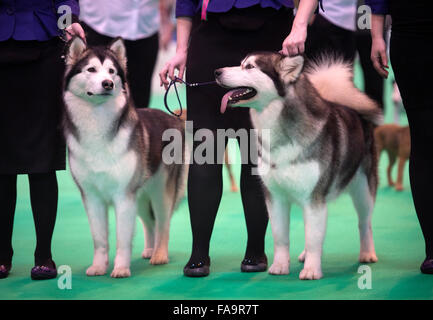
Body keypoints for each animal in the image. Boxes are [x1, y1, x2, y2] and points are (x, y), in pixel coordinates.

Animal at [62, 37, 187, 278]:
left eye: (112, 71)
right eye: (91, 69)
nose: (108, 83)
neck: (97, 123)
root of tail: (174, 118)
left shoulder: (123, 195)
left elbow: (122, 237)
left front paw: (120, 268)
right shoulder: (91, 196)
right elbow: (99, 238)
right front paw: (98, 267)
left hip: (160, 191)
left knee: (162, 223)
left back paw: (160, 254)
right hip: (141, 195)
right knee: (149, 223)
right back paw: (149, 249)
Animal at [214, 51, 380, 278]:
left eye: (249, 67)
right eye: (241, 64)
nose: (216, 72)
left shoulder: (314, 198)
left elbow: (313, 238)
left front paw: (311, 270)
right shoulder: (275, 197)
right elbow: (281, 236)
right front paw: (280, 266)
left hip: (363, 190)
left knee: (365, 222)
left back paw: (367, 253)